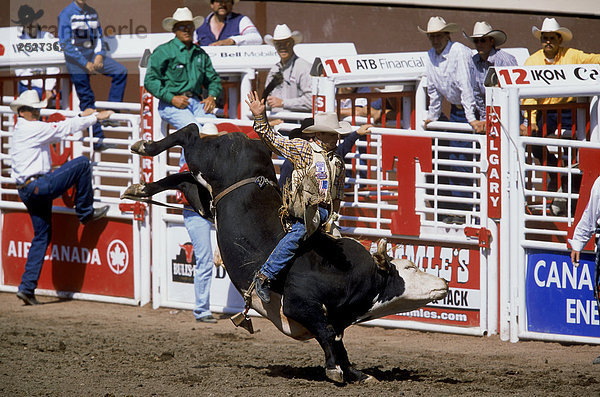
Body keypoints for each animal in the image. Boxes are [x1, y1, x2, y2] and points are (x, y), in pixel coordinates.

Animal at [122, 124, 448, 384]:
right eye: (409, 267)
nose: (445, 283)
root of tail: (246, 138)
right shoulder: (298, 304)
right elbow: (327, 334)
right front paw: (336, 371)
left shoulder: (336, 318)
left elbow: (337, 340)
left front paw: (356, 373)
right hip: (205, 158)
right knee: (189, 133)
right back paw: (144, 146)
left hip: (206, 198)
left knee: (182, 178)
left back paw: (138, 189)